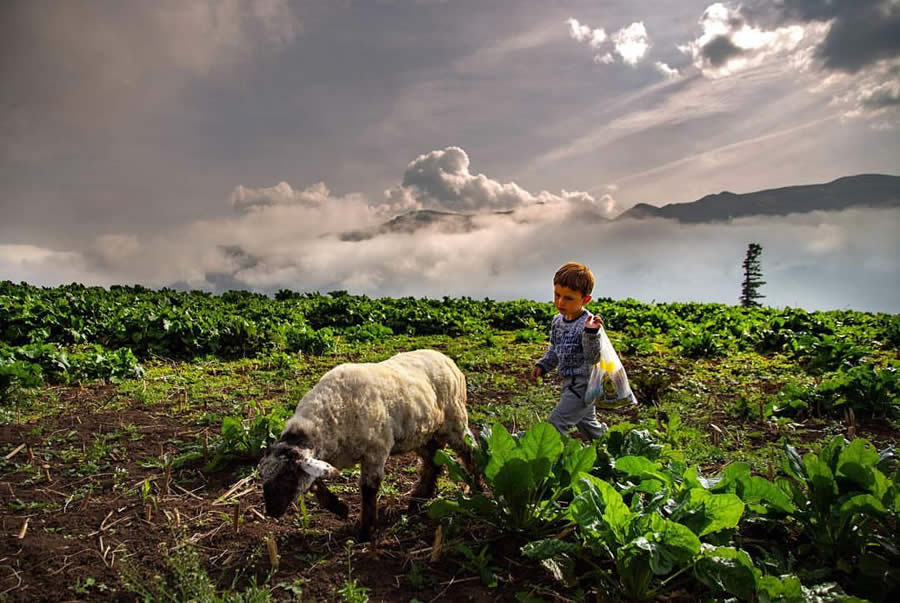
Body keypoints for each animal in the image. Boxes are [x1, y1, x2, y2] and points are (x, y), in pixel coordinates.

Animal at [258, 346, 474, 540]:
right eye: (263, 476)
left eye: (288, 477)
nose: (272, 511)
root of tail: (445, 357)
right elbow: (315, 483)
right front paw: (339, 508)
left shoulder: (376, 450)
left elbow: (369, 489)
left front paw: (365, 531)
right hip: (422, 433)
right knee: (432, 462)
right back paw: (418, 500)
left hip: (455, 419)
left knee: (469, 451)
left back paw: (475, 487)